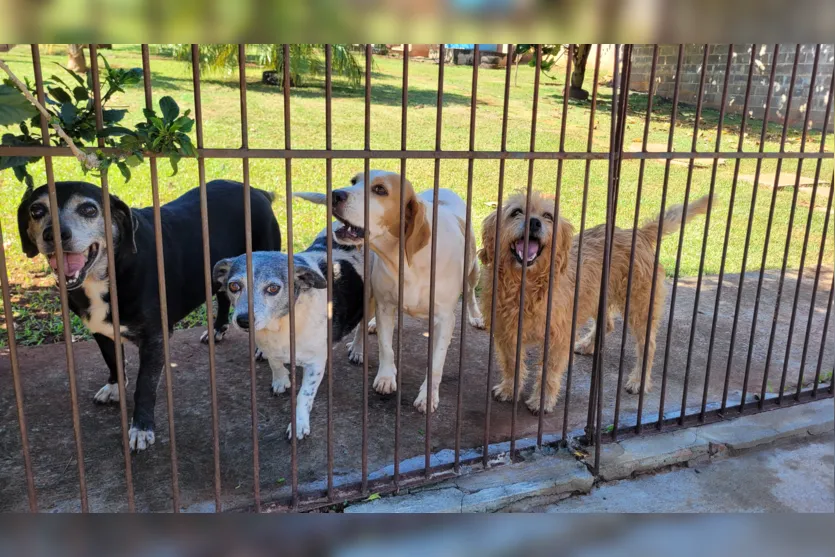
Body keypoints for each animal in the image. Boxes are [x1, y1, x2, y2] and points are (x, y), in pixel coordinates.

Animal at [16, 180, 282, 450]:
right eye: (36, 210)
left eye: (89, 210)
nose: (54, 235)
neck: (111, 270)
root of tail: (256, 191)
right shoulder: (100, 330)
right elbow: (112, 360)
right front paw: (114, 387)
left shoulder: (154, 339)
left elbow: (144, 386)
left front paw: (141, 428)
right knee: (224, 296)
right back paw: (217, 329)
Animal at [480, 191, 708, 412]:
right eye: (516, 212)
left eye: (548, 216)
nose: (534, 222)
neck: (525, 285)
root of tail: (639, 233)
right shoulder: (506, 334)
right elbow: (511, 364)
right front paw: (509, 389)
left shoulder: (557, 338)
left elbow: (549, 372)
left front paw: (542, 401)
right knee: (607, 324)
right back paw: (588, 345)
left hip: (639, 307)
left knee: (648, 345)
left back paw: (638, 380)